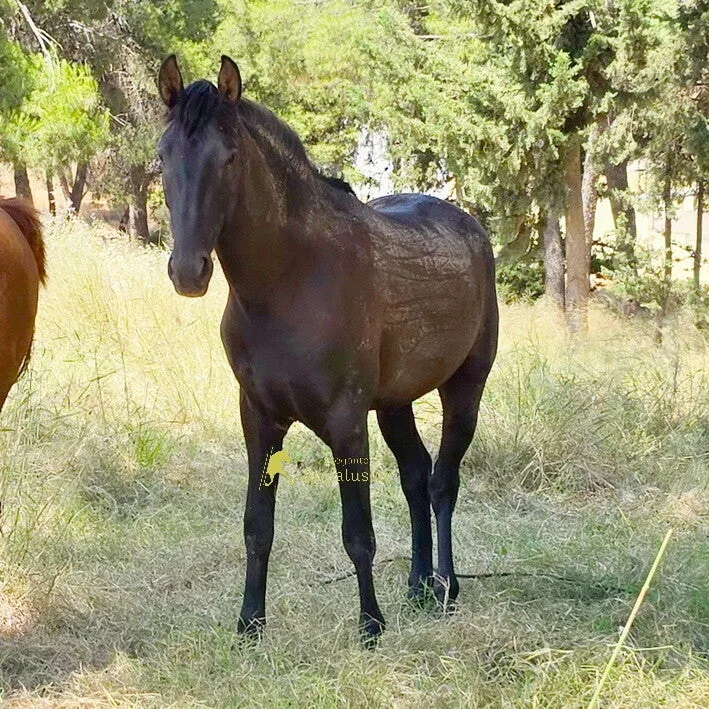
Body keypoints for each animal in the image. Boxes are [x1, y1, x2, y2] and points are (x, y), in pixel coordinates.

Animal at [157, 55, 498, 645]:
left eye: (230, 158)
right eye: (162, 155)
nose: (188, 272)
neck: (291, 282)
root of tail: (470, 227)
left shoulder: (345, 422)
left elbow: (358, 531)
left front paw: (370, 626)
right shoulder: (260, 420)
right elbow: (257, 528)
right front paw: (250, 625)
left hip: (464, 391)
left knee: (442, 483)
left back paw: (445, 586)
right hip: (394, 404)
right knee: (416, 477)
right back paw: (417, 586)